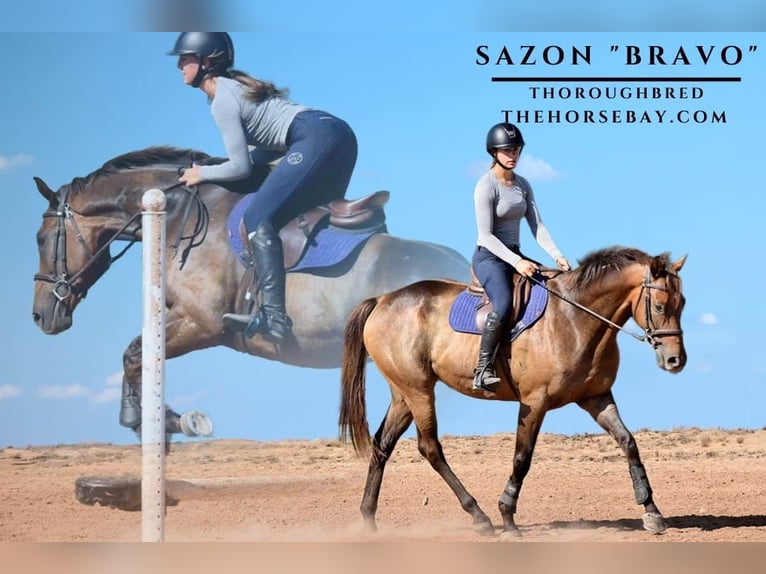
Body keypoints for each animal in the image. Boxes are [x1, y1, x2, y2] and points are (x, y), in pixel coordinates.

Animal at [31, 146, 470, 440]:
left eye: (40, 238)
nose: (40, 316)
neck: (183, 218)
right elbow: (134, 354)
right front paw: (138, 418)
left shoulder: (201, 324)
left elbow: (135, 355)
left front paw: (169, 420)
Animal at [339, 246, 687, 537]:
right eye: (659, 306)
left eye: (682, 304)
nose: (676, 361)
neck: (576, 318)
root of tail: (381, 301)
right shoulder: (535, 401)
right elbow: (522, 457)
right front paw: (507, 516)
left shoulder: (596, 397)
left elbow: (629, 443)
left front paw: (652, 512)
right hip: (419, 390)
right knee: (430, 448)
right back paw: (480, 516)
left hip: (403, 394)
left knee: (382, 444)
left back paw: (368, 518)